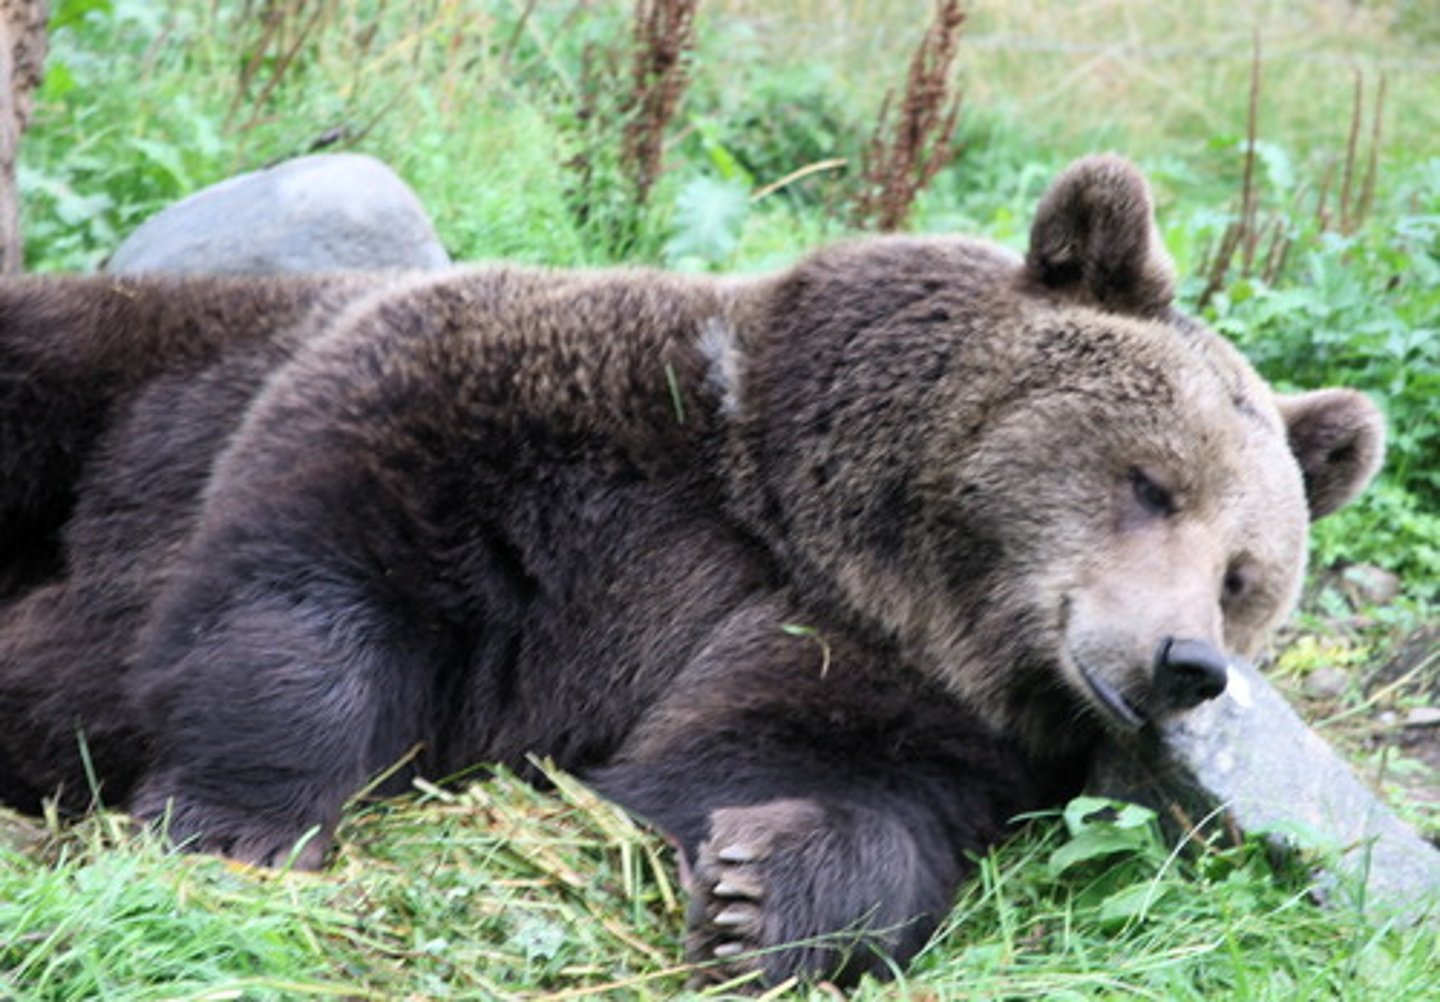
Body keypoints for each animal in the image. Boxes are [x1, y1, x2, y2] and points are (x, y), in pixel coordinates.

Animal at [0, 155, 1385, 987]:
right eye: (1152, 483)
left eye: (1245, 576)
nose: (1183, 662)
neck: (808, 524)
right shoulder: (500, 427)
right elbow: (314, 581)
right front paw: (234, 824)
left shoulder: (879, 668)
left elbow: (778, 778)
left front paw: (756, 895)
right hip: (101, 372)